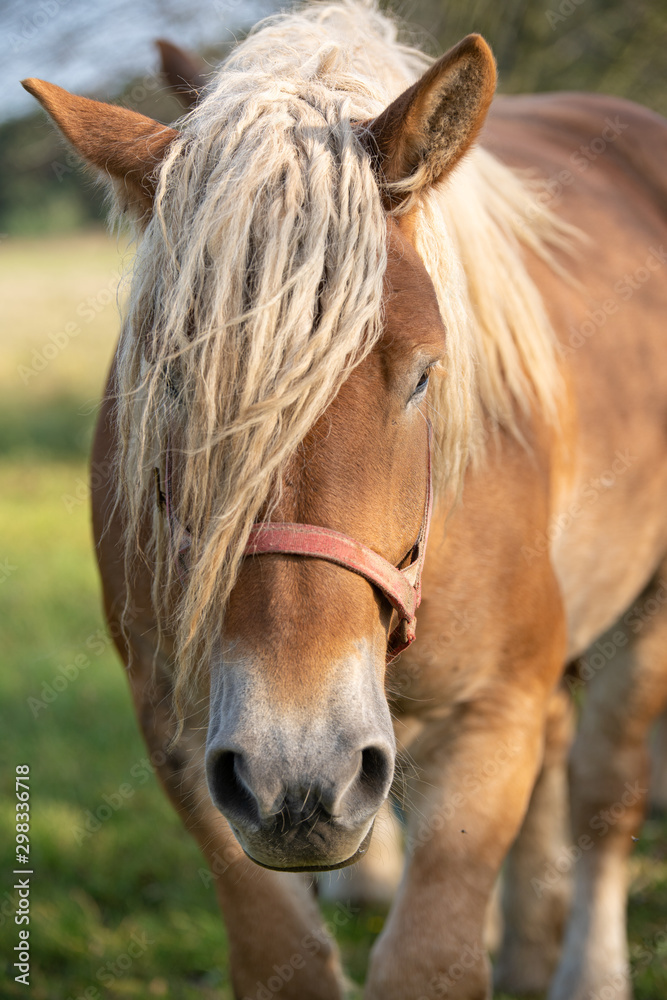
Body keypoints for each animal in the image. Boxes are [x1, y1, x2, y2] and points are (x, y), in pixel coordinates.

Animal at [22, 3, 667, 997]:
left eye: (425, 374)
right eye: (169, 382)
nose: (296, 766)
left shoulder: (492, 711)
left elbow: (429, 959)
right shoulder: (181, 730)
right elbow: (280, 958)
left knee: (604, 787)